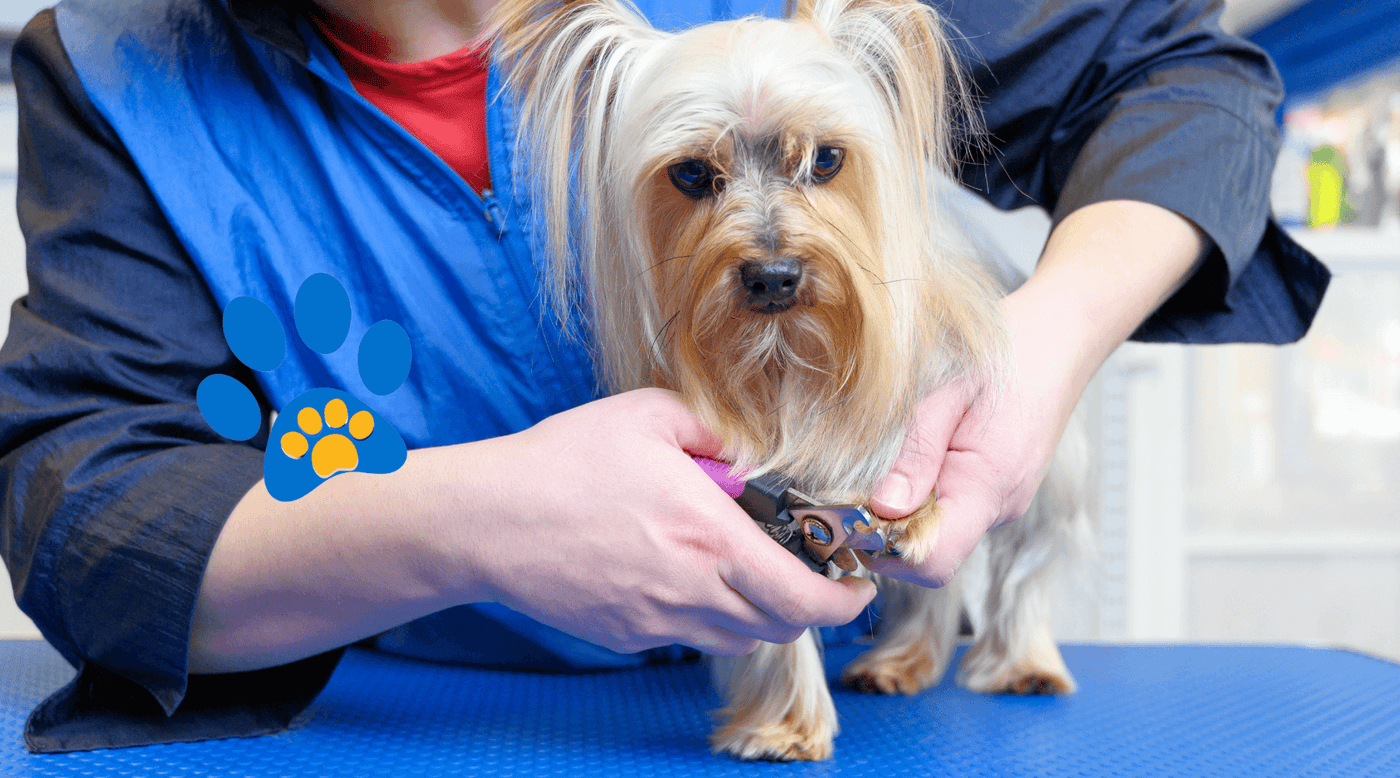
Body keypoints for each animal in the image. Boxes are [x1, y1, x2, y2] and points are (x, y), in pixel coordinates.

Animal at [487, 0, 1086, 761]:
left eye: (825, 159)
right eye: (691, 174)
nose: (773, 275)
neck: (784, 357)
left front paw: (912, 514)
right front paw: (785, 726)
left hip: (1053, 476)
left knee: (1027, 561)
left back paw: (1023, 664)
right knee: (933, 592)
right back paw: (902, 662)